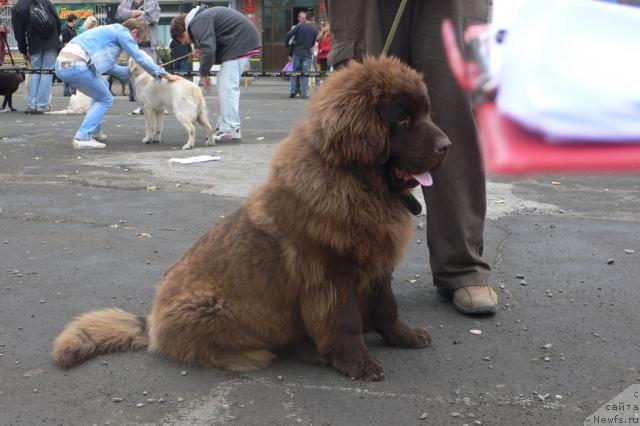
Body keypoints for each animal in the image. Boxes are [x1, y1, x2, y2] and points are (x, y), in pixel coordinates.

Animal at [51, 55, 450, 380]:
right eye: (402, 118)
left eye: (425, 113)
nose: (447, 146)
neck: (356, 182)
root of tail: (150, 322)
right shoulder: (332, 274)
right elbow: (346, 321)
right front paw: (357, 362)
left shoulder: (378, 262)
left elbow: (387, 307)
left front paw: (402, 336)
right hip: (229, 310)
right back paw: (303, 350)